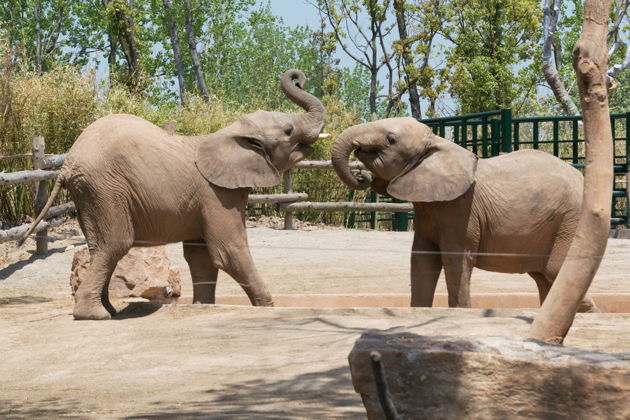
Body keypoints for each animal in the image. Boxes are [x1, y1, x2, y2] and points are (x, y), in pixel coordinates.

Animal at [19, 69, 326, 320]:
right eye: (288, 130)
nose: (299, 78)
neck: (229, 133)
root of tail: (68, 163)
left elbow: (201, 257)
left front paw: (203, 307)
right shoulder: (217, 194)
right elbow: (228, 251)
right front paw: (267, 309)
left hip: (89, 193)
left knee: (100, 248)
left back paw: (108, 310)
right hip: (105, 188)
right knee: (115, 244)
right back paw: (95, 316)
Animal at [334, 117, 600, 312]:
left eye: (391, 139)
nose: (361, 175)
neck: (437, 143)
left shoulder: (461, 209)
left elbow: (456, 261)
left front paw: (460, 312)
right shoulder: (428, 210)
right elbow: (421, 260)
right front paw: (419, 312)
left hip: (571, 219)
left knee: (555, 270)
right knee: (543, 277)